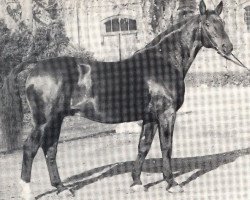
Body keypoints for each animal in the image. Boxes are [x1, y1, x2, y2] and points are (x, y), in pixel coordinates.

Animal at [18, 0, 234, 197]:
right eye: (207, 24)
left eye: (223, 22)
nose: (228, 47)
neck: (163, 62)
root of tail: (33, 72)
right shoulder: (166, 114)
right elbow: (166, 147)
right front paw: (172, 184)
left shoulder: (150, 117)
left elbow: (143, 146)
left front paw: (136, 182)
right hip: (44, 121)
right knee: (30, 148)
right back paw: (27, 191)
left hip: (56, 120)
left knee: (50, 149)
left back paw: (62, 189)